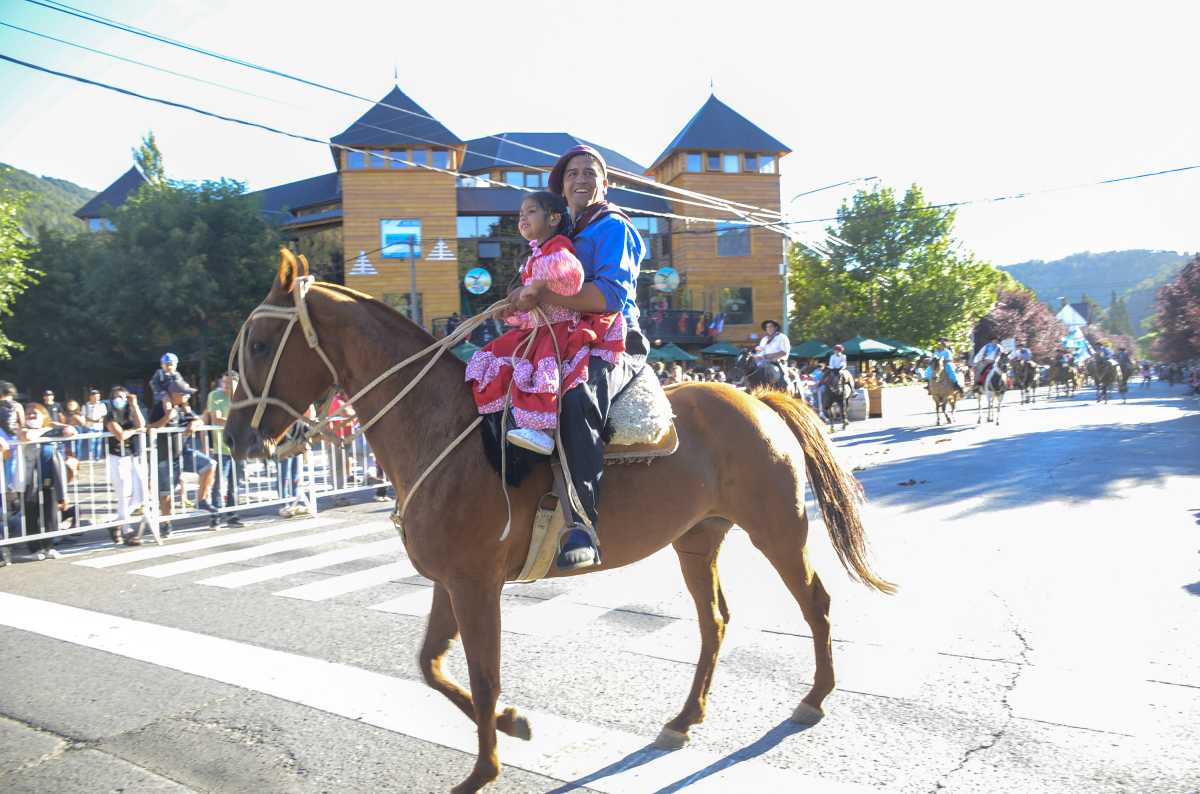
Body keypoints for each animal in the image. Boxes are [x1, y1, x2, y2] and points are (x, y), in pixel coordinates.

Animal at [229, 257, 897, 791]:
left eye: (260, 344)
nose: (236, 438)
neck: (441, 428)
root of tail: (757, 399)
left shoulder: (476, 586)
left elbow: (482, 674)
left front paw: (483, 770)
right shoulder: (450, 582)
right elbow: (432, 665)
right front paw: (512, 725)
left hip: (778, 531)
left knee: (816, 604)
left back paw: (813, 699)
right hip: (695, 541)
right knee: (715, 623)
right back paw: (685, 719)